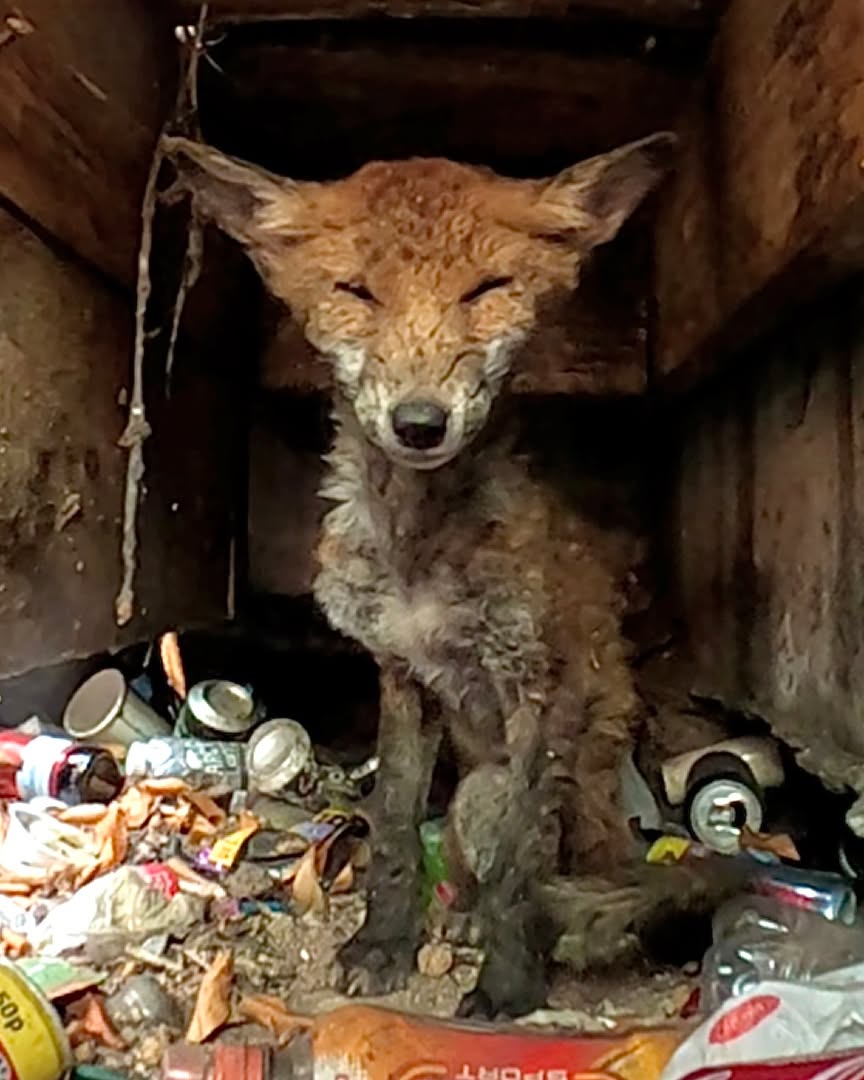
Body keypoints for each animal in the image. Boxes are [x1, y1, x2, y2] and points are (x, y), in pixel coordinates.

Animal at [163, 133, 740, 1015]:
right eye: (358, 292)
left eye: (486, 290)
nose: (419, 423)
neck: (419, 555)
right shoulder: (402, 675)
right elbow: (395, 825)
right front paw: (383, 943)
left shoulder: (541, 686)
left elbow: (523, 868)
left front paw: (509, 984)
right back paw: (460, 915)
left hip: (498, 793)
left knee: (535, 865)